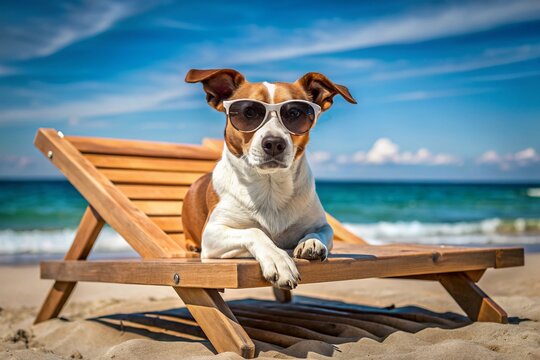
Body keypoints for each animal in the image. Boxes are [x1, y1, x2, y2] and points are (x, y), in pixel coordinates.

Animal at [184, 69, 356, 290]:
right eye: (249, 112)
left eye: (294, 113)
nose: (274, 143)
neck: (270, 186)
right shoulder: (212, 234)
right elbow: (254, 232)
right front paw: (277, 259)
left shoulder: (322, 225)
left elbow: (322, 231)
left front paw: (312, 242)